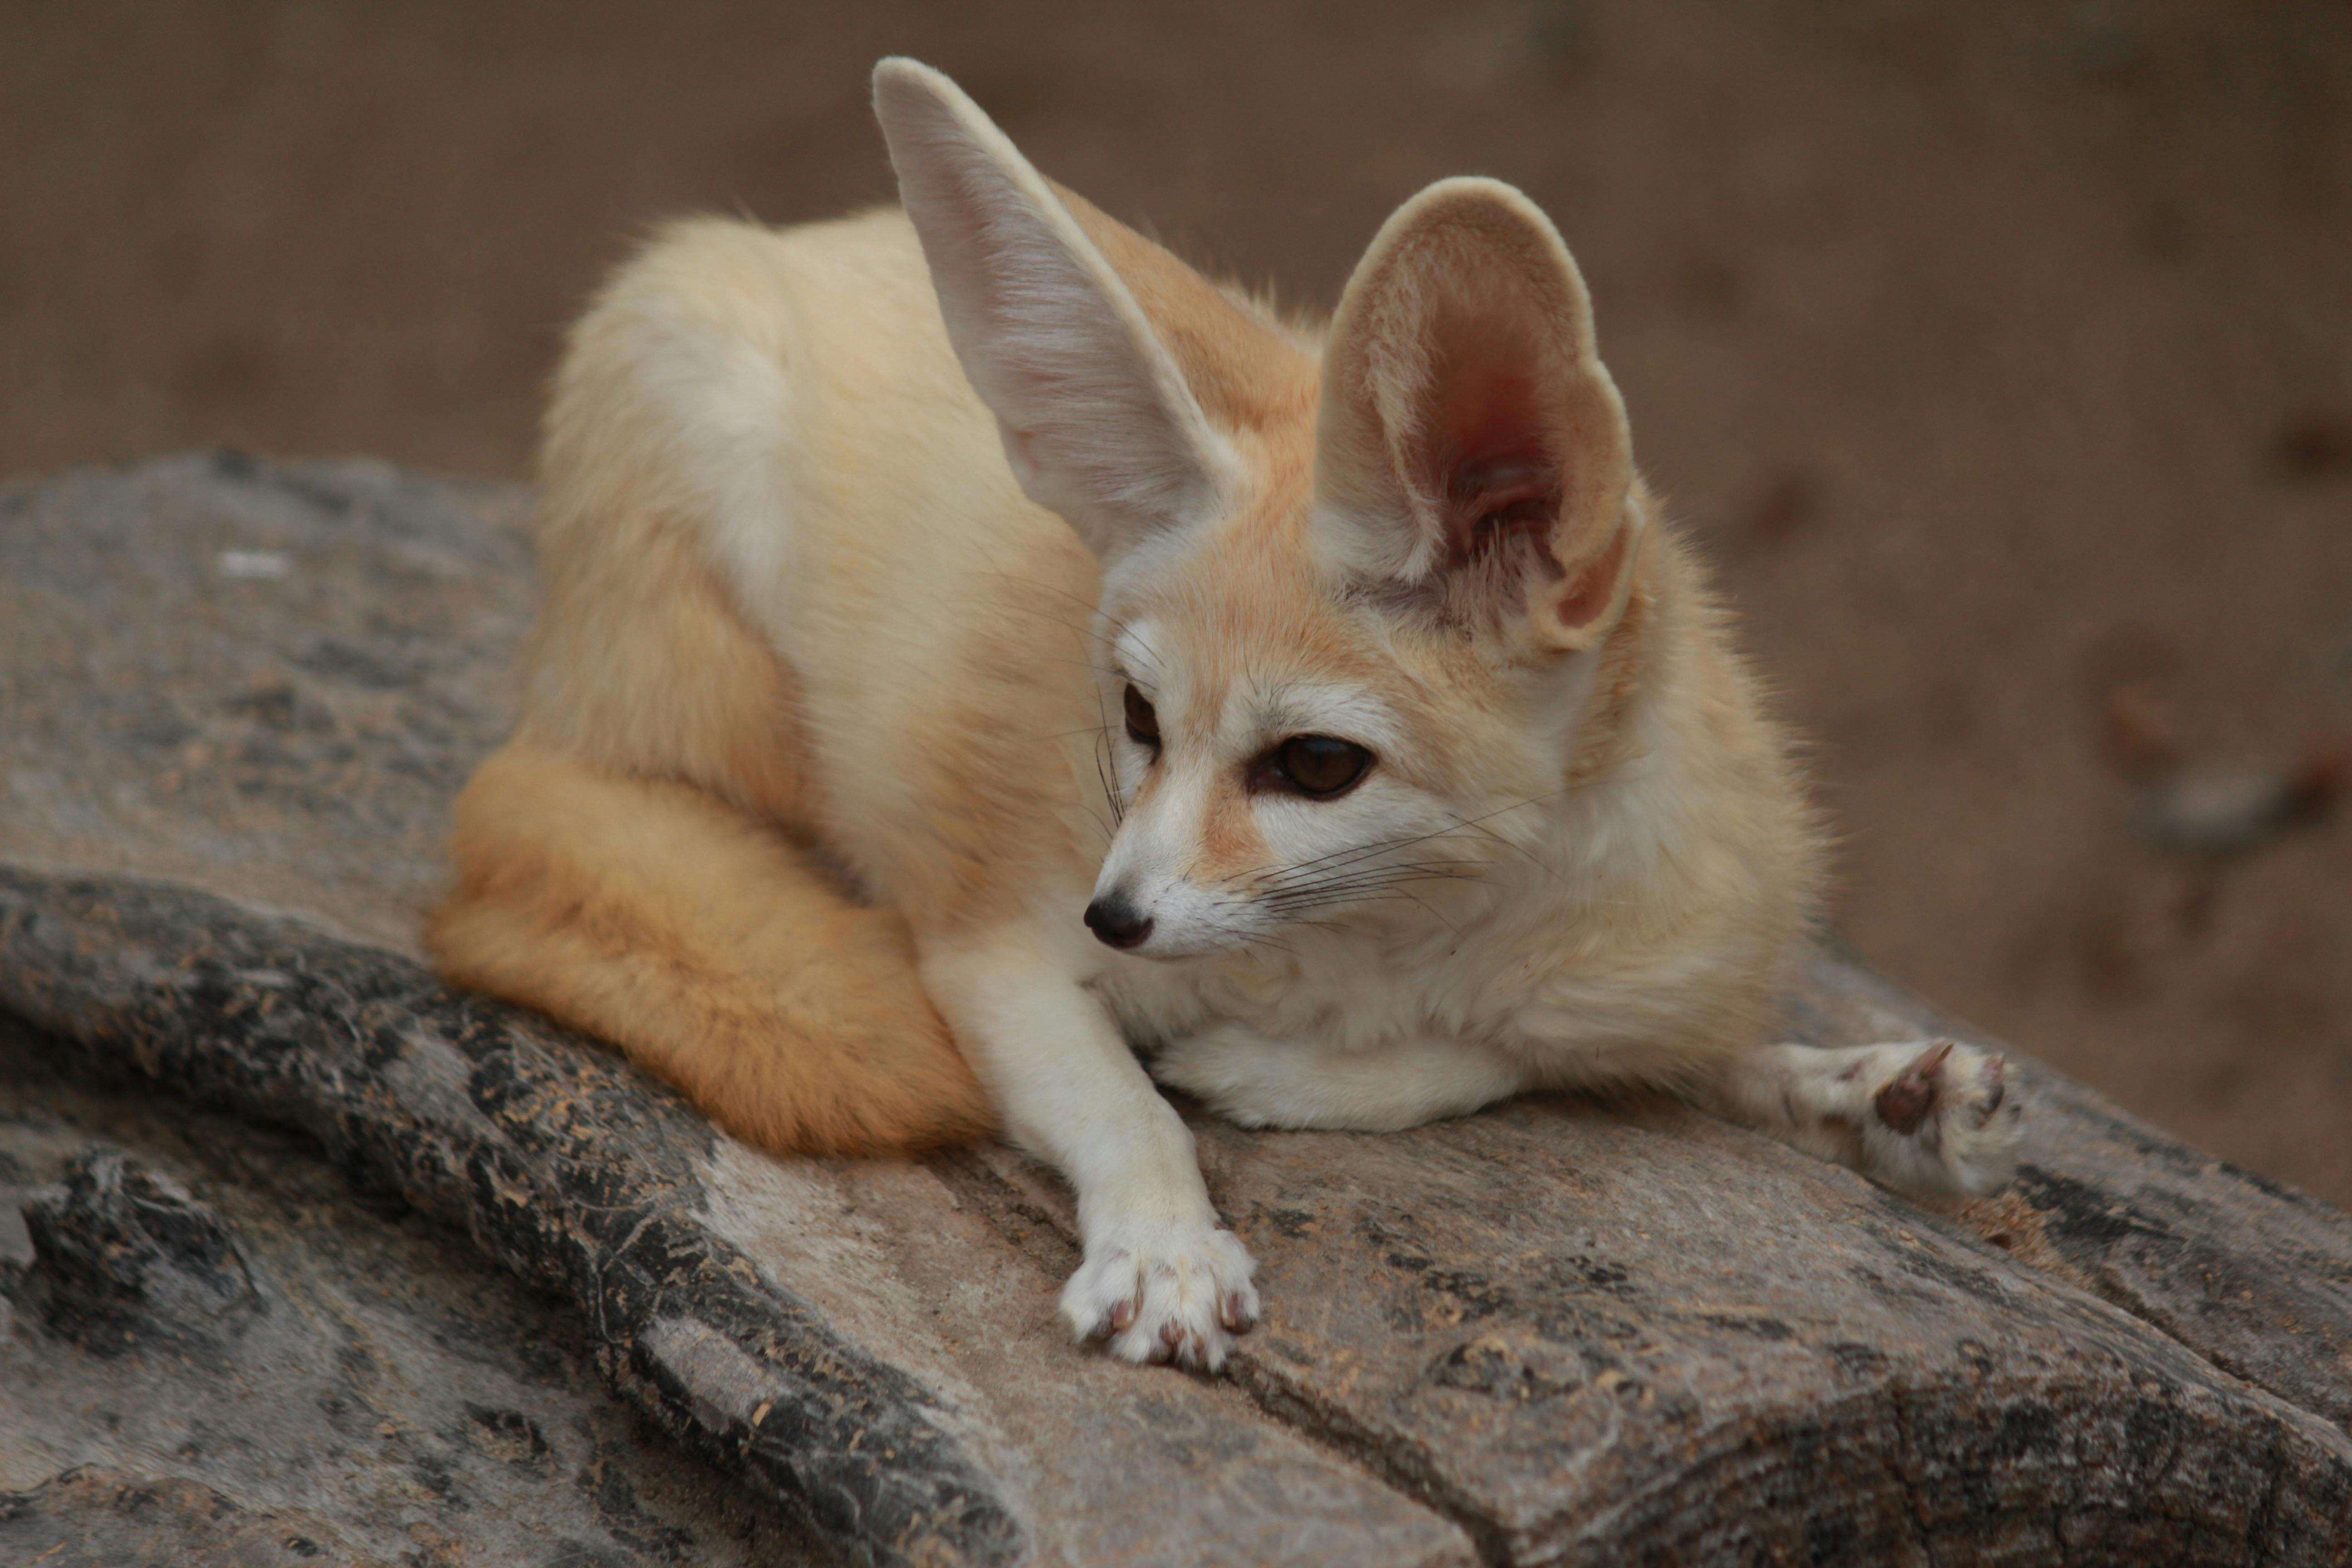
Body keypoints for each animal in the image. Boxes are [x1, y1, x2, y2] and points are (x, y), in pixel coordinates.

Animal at [437, 55, 2023, 1363]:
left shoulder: (1657, 968)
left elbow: (1551, 1054)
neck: (1382, 940)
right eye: (1136, 718)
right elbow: (1122, 1102)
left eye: (1317, 766)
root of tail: (801, 237)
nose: (1115, 918)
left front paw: (1860, 1085)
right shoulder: (993, 949)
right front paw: (1166, 1236)